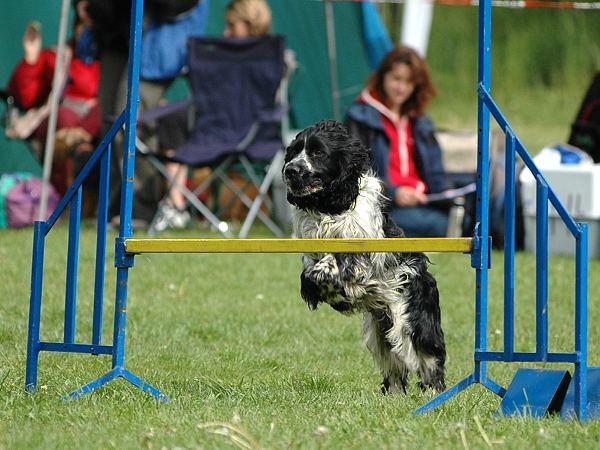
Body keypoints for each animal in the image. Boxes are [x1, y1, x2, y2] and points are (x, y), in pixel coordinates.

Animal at [284, 119, 448, 394]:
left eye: (318, 152)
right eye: (294, 151)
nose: (290, 170)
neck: (328, 206)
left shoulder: (363, 250)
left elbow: (338, 264)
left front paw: (334, 286)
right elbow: (310, 274)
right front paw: (330, 293)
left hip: (411, 320)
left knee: (429, 359)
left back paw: (436, 392)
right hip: (380, 331)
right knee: (394, 369)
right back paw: (393, 395)